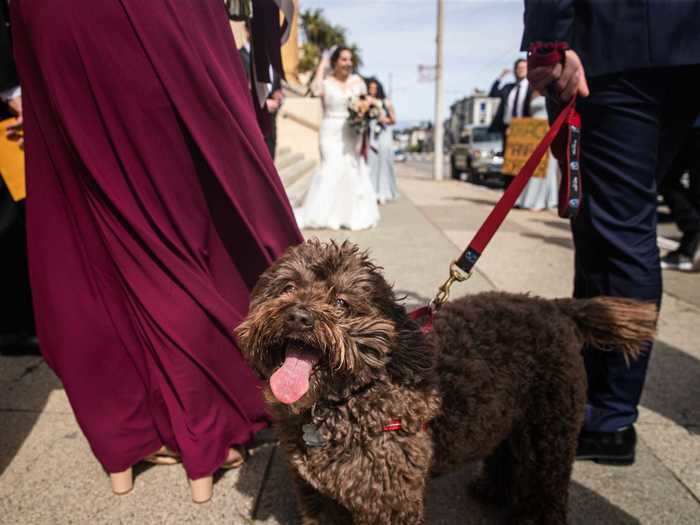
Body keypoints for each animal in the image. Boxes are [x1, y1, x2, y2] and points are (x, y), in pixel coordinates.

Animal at [235, 239, 656, 520]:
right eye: (287, 288)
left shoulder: (388, 500)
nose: (298, 316)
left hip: (551, 427)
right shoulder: (317, 495)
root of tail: (552, 306)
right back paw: (492, 490)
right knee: (506, 451)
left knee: (548, 485)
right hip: (508, 414)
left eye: (341, 302)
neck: (347, 401)